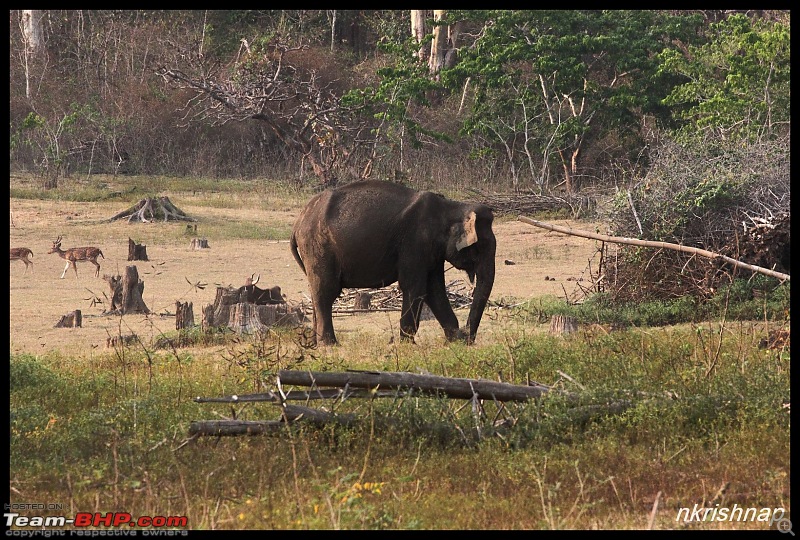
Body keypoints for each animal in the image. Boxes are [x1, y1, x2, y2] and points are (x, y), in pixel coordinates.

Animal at [290, 179, 496, 344]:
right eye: (481, 247)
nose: (468, 337)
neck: (451, 207)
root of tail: (298, 222)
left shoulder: (431, 252)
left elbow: (434, 289)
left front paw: (455, 341)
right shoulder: (415, 242)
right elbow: (415, 287)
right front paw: (407, 344)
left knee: (316, 291)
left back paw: (315, 344)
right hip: (318, 247)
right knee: (326, 292)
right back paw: (330, 345)